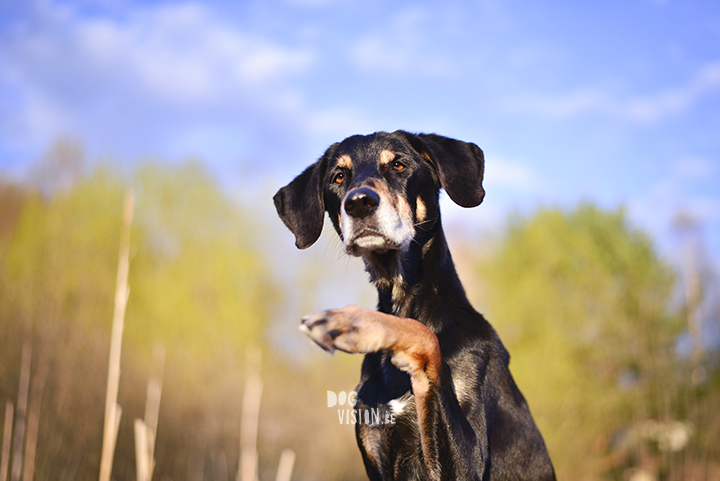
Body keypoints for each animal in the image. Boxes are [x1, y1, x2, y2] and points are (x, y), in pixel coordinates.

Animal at [272, 129, 556, 478]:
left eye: (399, 165)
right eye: (338, 176)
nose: (359, 202)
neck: (402, 295)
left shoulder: (469, 464)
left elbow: (426, 337)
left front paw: (355, 322)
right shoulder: (377, 451)